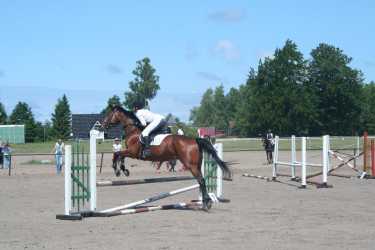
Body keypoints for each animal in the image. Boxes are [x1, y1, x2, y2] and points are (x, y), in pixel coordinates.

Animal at [103, 105, 232, 211]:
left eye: (110, 114)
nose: (103, 124)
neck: (133, 130)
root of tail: (194, 140)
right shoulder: (130, 152)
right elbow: (120, 156)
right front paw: (123, 170)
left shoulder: (132, 152)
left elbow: (117, 154)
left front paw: (118, 170)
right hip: (197, 165)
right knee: (202, 181)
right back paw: (206, 202)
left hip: (191, 165)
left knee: (201, 181)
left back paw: (206, 203)